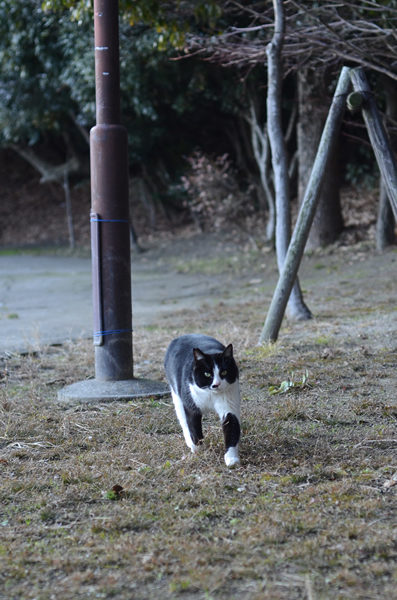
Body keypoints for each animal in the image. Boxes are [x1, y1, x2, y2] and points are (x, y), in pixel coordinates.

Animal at [163, 336, 240, 466]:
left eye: (224, 372)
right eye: (207, 374)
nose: (216, 385)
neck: (211, 395)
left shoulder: (229, 403)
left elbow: (231, 425)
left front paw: (231, 458)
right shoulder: (190, 403)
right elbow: (193, 426)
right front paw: (197, 449)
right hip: (176, 394)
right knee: (183, 419)